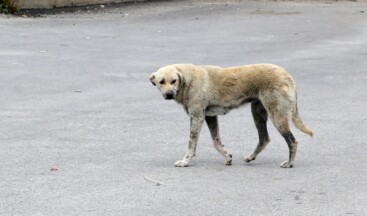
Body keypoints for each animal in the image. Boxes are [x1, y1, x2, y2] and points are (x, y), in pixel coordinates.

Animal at [150, 63, 314, 168]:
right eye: (161, 82)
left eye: (174, 81)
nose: (169, 94)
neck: (188, 79)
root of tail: (287, 74)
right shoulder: (209, 117)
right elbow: (216, 141)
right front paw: (227, 156)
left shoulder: (197, 117)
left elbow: (191, 144)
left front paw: (185, 161)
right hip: (258, 114)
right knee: (264, 138)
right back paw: (251, 156)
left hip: (277, 117)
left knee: (292, 141)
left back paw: (290, 163)